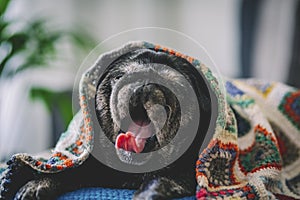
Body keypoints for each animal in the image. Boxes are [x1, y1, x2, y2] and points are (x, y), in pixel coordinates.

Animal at [3, 48, 213, 200]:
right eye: (119, 77)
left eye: (176, 88)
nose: (145, 82)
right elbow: (67, 171)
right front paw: (37, 183)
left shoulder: (182, 174)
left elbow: (160, 179)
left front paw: (147, 193)